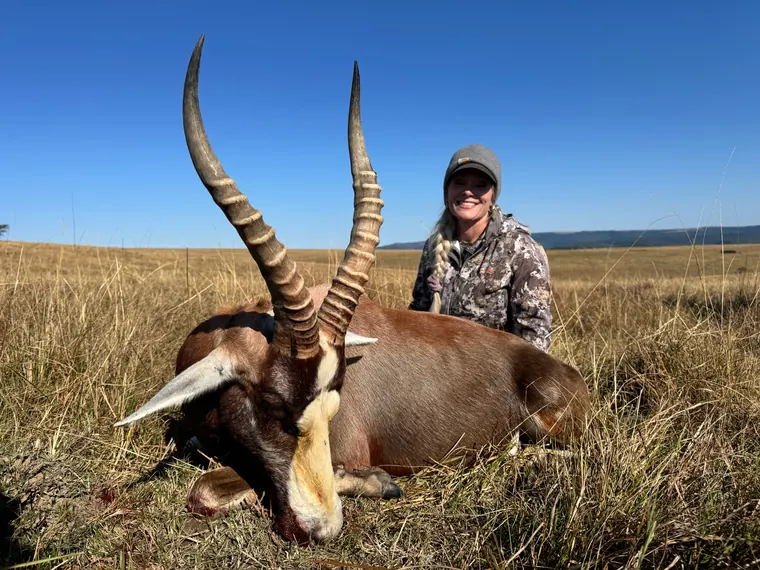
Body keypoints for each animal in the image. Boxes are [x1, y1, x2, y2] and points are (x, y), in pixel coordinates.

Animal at [115, 35, 592, 546]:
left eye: (334, 405)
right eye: (272, 404)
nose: (321, 529)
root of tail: (562, 370)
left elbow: (205, 488)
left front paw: (380, 483)